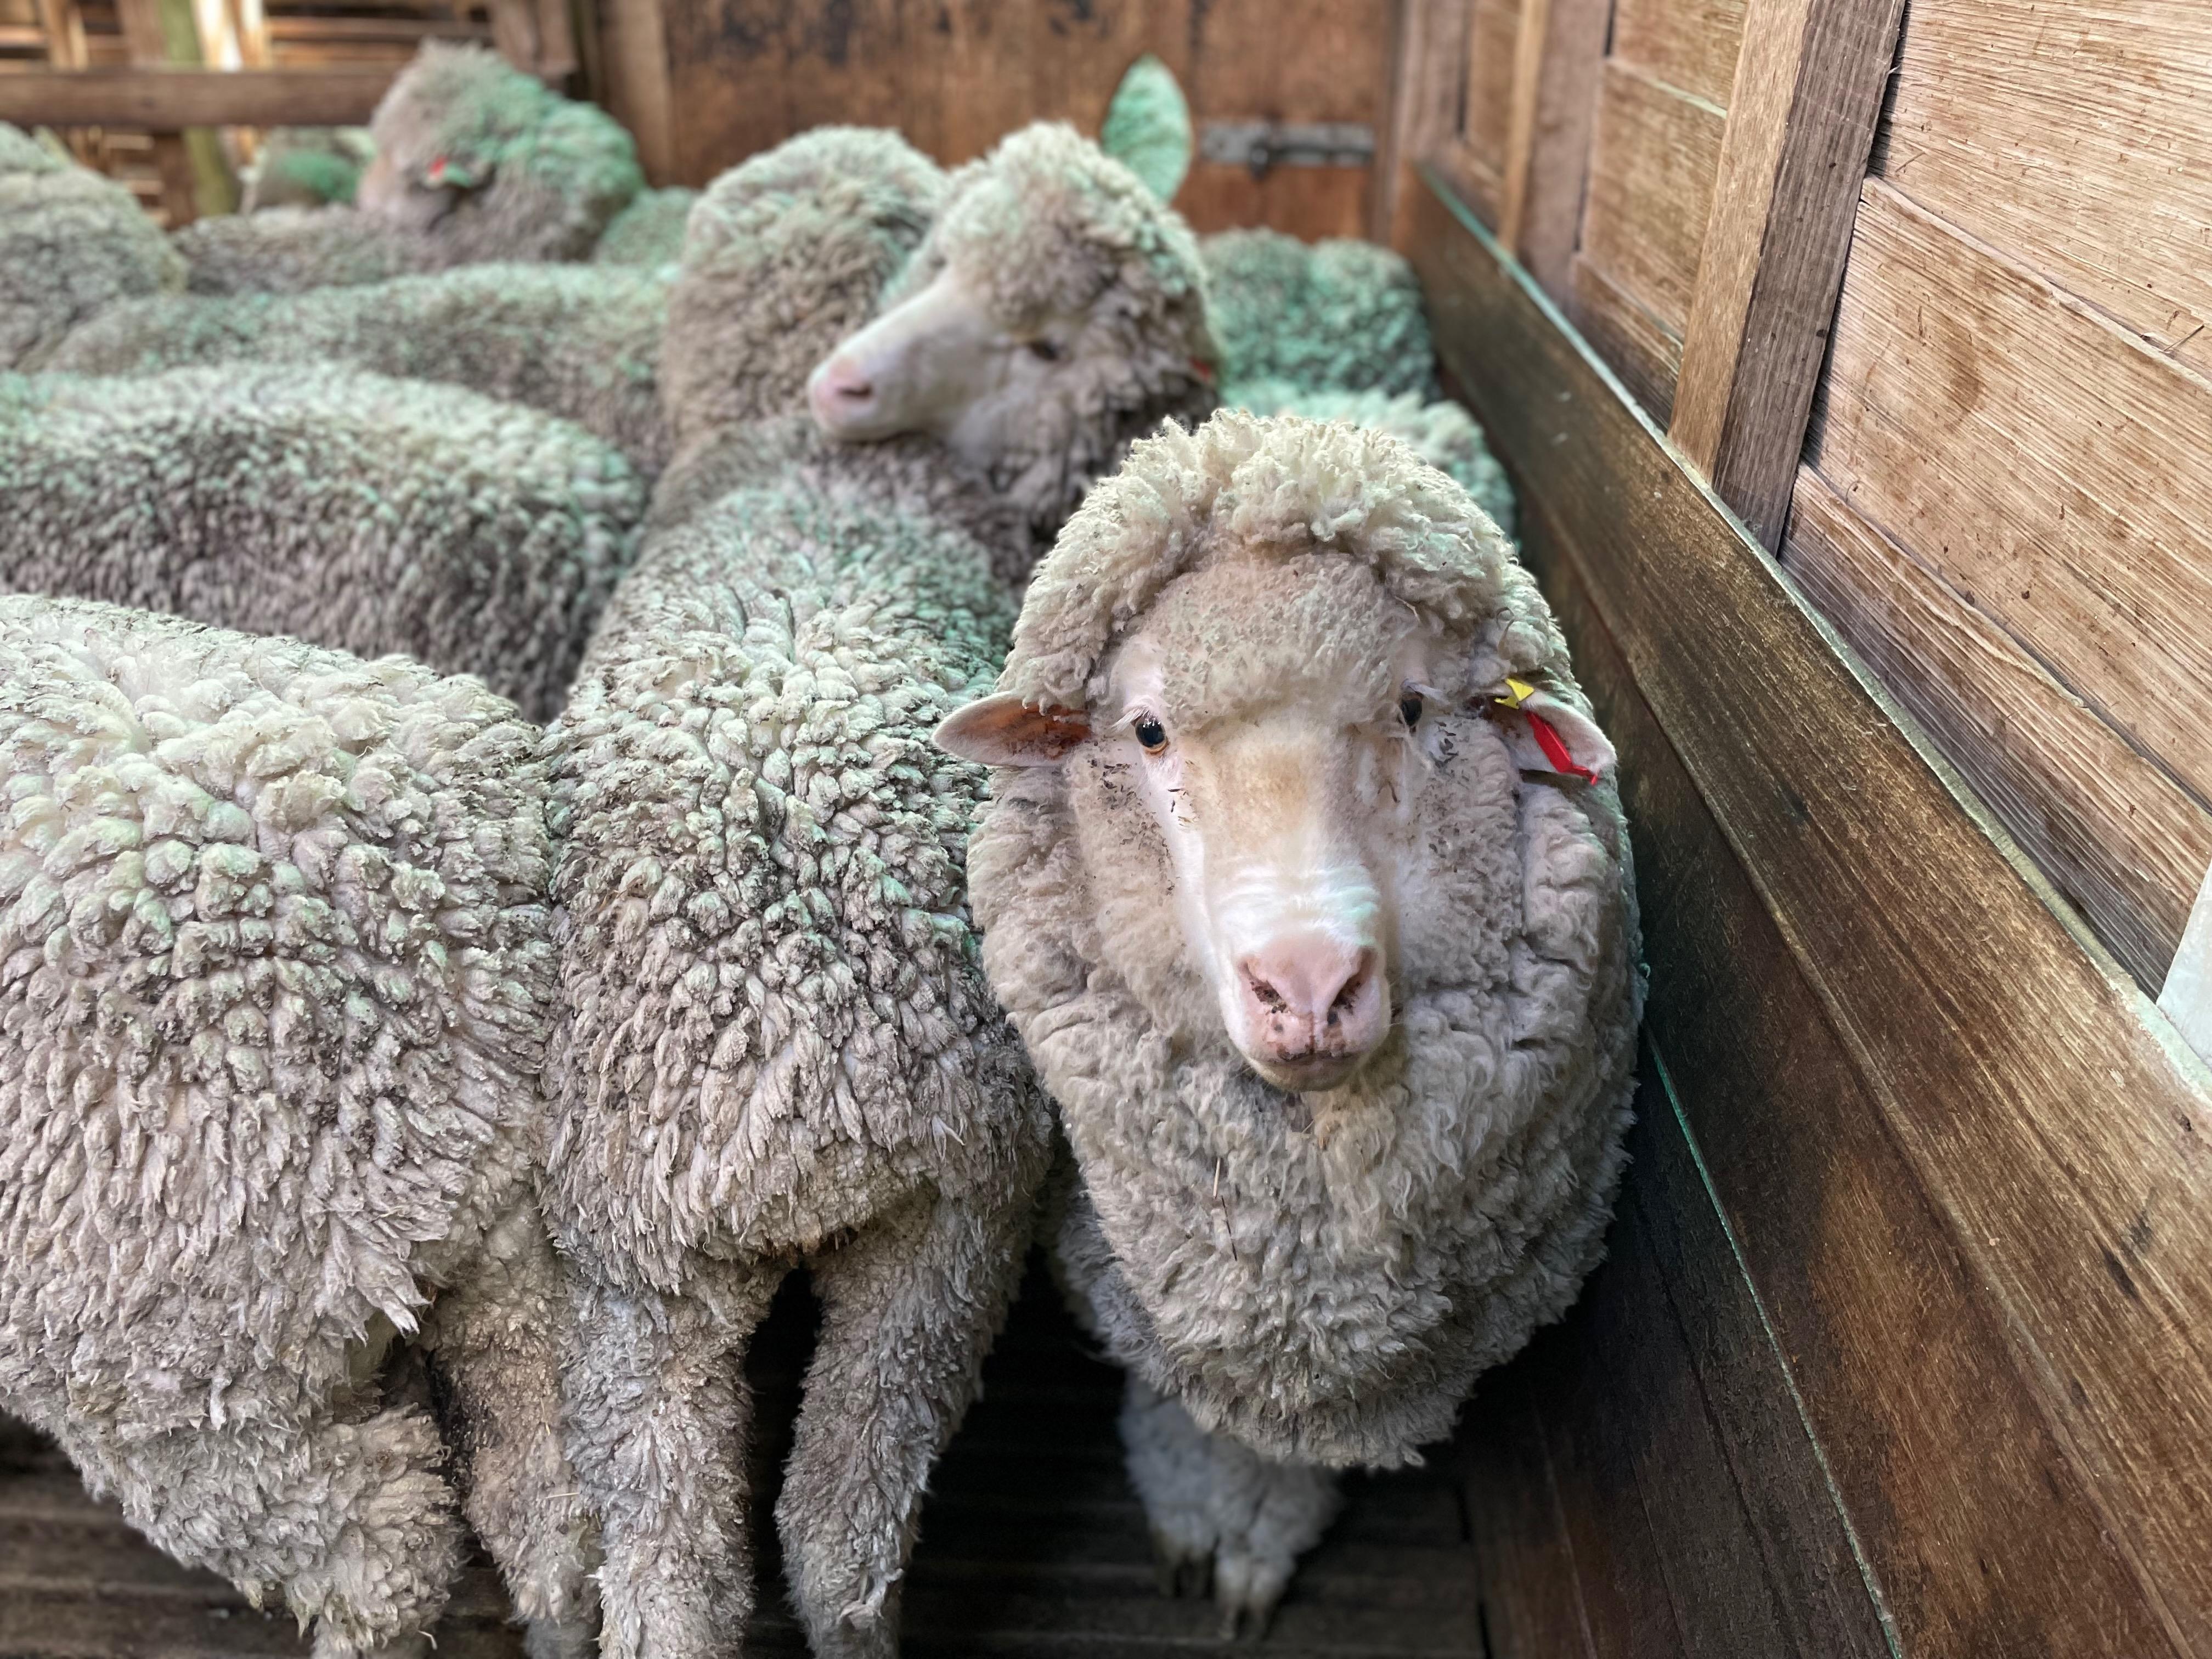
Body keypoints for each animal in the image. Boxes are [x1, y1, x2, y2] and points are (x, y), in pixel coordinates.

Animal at [541, 119, 1214, 1659]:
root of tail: (793, 1074)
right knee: (816, 1548)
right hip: (879, 1248)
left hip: (807, 1258)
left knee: (754, 1559)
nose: (845, 380)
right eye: (938, 254)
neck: (830, 468)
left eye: (1041, 342)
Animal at [935, 409, 1641, 1635]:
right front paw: (1197, 1496)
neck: (1300, 1262)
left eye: (1412, 708)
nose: (1308, 988)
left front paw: (1260, 1526)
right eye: (1148, 730)